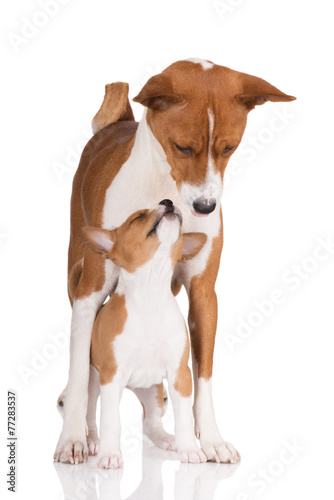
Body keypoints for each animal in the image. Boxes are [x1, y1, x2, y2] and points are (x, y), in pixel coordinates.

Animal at [54, 57, 294, 464]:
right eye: (182, 147)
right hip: (77, 279)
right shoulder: (91, 294)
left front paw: (210, 439)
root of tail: (116, 125)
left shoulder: (203, 294)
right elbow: (82, 370)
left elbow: (203, 375)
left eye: (229, 148)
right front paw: (73, 438)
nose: (205, 206)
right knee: (83, 368)